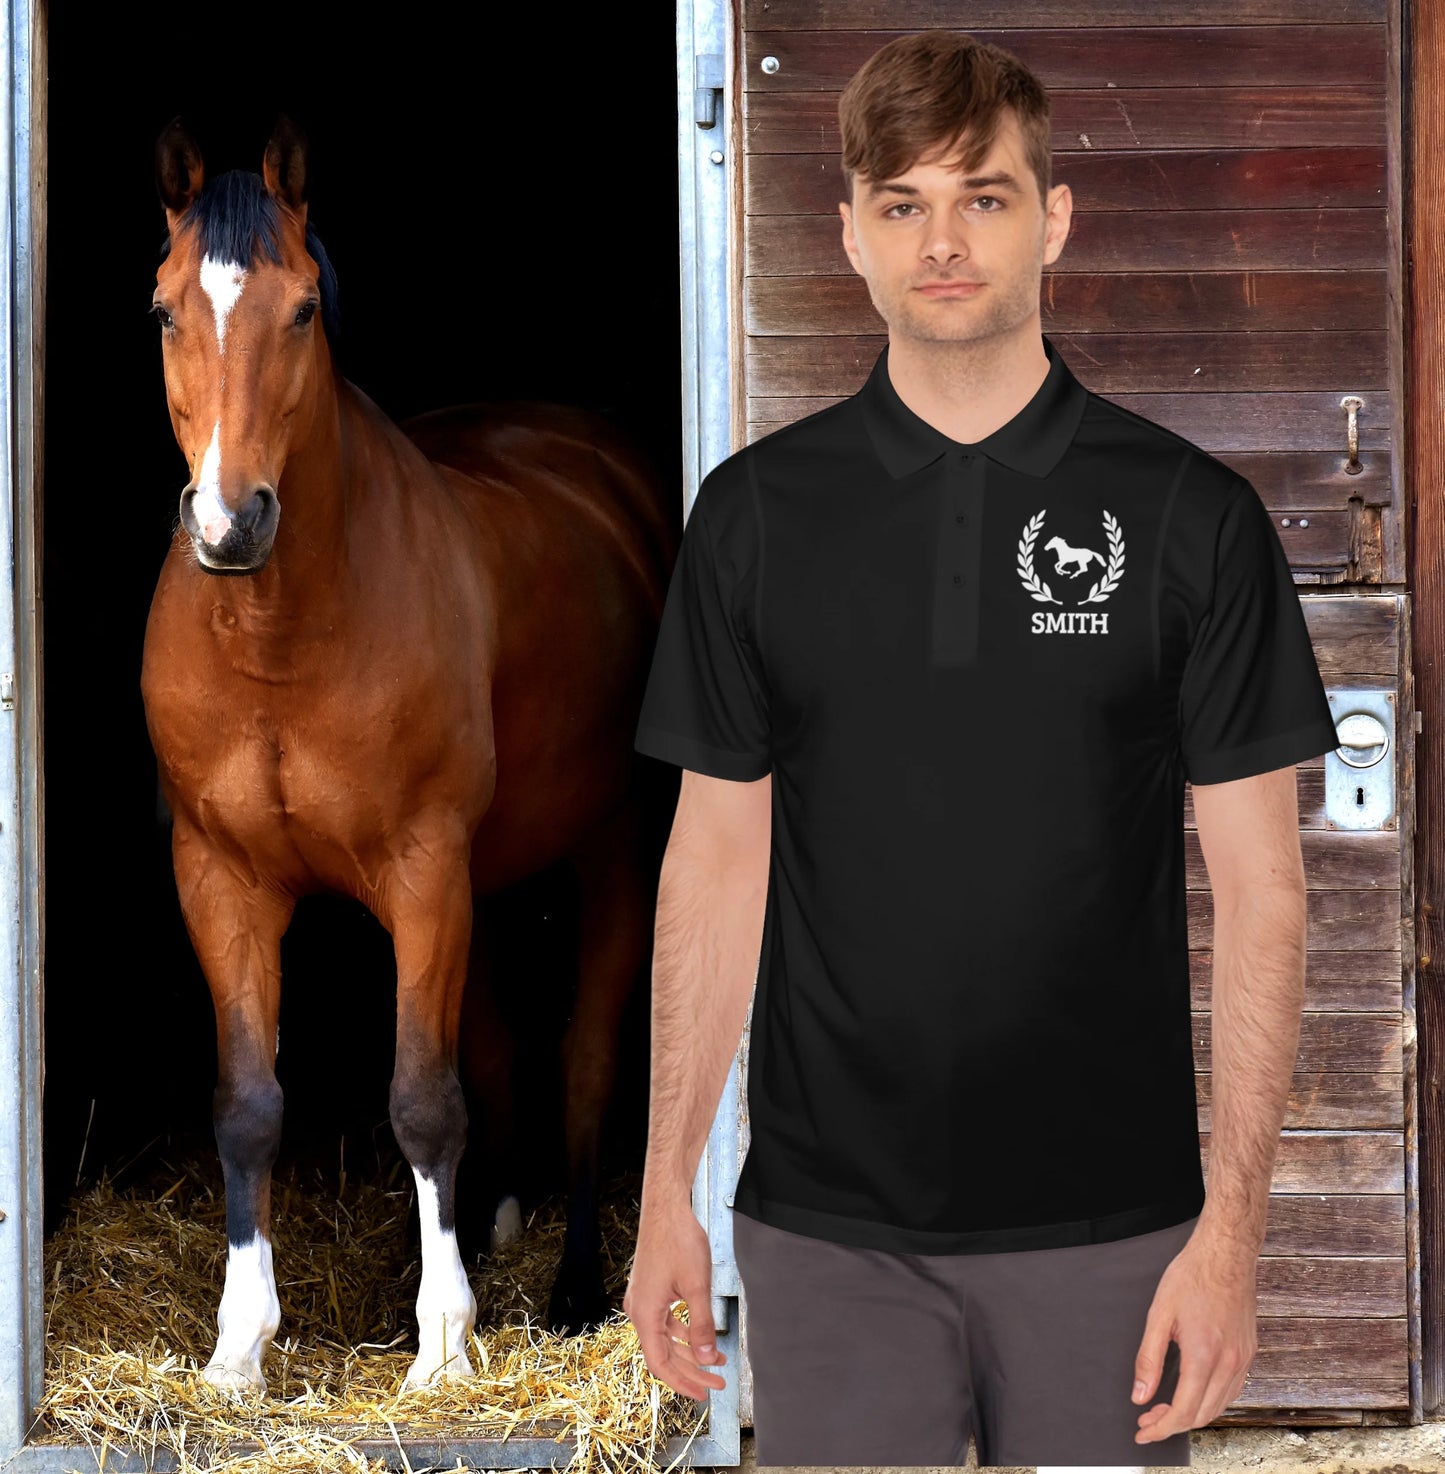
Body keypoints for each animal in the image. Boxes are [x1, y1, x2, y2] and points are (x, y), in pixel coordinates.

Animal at [139, 115, 673, 1393]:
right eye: (165, 309)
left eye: (300, 311)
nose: (229, 522)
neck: (278, 637)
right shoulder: (220, 877)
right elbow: (248, 1102)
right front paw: (239, 1345)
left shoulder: (424, 868)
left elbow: (425, 1098)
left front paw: (441, 1345)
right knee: (502, 1049)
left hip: (610, 849)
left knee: (584, 1061)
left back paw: (575, 1287)